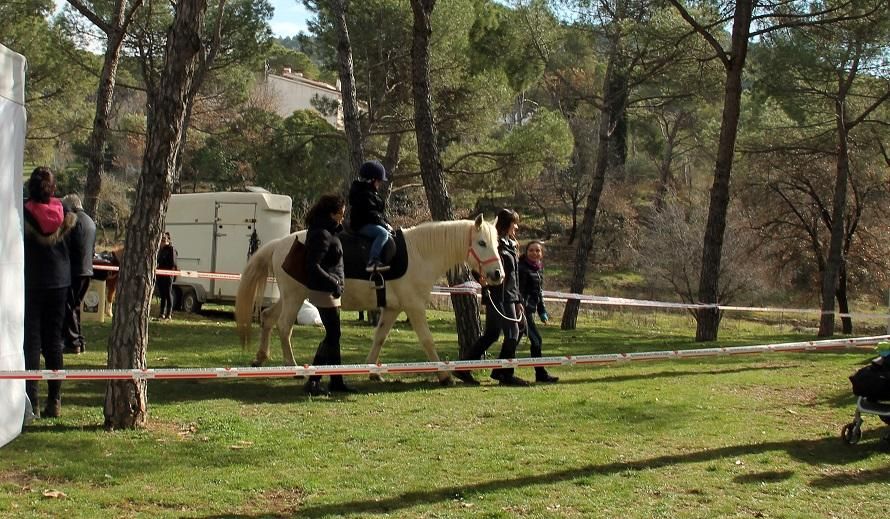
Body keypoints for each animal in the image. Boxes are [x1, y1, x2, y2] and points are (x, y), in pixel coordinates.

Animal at [232, 215, 502, 386]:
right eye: (481, 242)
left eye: (497, 243)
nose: (498, 274)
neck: (420, 254)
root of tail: (280, 244)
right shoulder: (414, 307)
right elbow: (427, 340)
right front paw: (444, 375)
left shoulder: (392, 309)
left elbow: (379, 337)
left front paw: (373, 371)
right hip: (294, 296)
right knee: (284, 326)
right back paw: (294, 367)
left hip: (290, 296)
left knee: (268, 318)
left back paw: (261, 357)